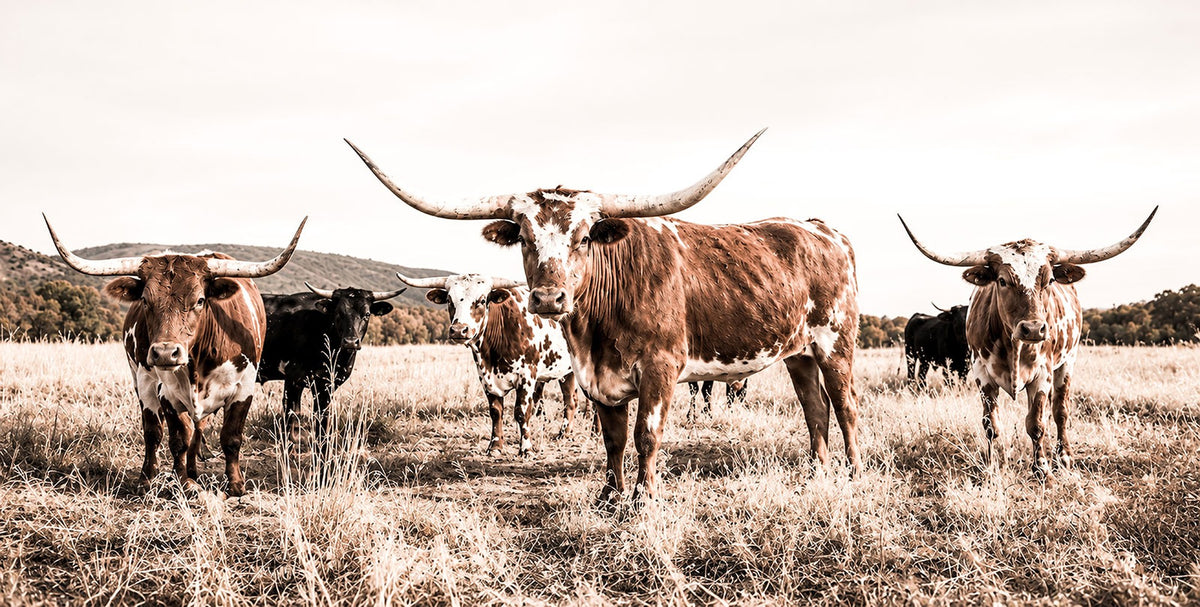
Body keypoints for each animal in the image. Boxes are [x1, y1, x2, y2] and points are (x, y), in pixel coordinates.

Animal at [43, 215, 306, 496]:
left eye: (200, 300)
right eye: (145, 300)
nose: (166, 353)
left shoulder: (243, 387)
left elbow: (231, 437)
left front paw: (235, 484)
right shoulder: (164, 390)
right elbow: (178, 438)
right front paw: (182, 481)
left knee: (198, 428)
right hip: (142, 383)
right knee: (155, 431)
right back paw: (150, 478)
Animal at [256, 283, 406, 454]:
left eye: (367, 314)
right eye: (339, 313)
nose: (350, 342)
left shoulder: (326, 385)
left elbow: (322, 419)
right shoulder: (293, 379)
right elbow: (291, 418)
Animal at [396, 272, 578, 455]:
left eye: (482, 300)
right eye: (449, 300)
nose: (459, 330)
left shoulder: (527, 375)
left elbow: (521, 411)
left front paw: (526, 448)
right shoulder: (485, 377)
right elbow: (496, 412)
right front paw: (495, 446)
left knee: (572, 401)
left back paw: (569, 434)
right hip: (565, 373)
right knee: (569, 401)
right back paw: (565, 433)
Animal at [898, 208, 1156, 475]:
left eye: (1050, 280)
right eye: (1002, 281)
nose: (1033, 328)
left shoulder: (1042, 374)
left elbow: (1036, 423)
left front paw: (1041, 467)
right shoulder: (981, 374)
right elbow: (991, 424)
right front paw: (991, 466)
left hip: (1067, 363)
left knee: (1060, 411)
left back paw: (1064, 456)